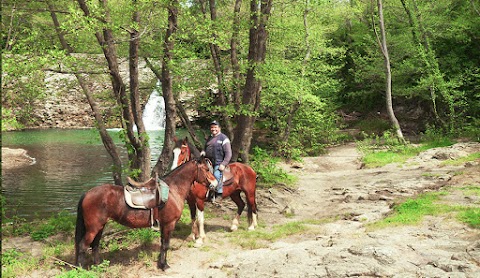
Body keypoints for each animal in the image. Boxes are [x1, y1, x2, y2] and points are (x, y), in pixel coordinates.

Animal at [74, 157, 217, 270]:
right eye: (207, 169)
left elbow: (162, 244)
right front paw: (164, 266)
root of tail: (87, 193)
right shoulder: (169, 224)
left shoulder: (163, 225)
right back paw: (80, 269)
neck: (173, 190)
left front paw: (161, 263)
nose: (215, 183)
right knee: (82, 246)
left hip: (100, 226)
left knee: (95, 245)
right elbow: (166, 245)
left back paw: (98, 265)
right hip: (93, 228)